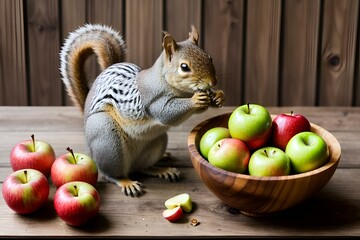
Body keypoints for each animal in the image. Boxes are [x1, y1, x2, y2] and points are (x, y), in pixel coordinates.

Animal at [60, 23, 224, 197]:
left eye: (210, 57)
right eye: (184, 67)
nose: (212, 82)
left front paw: (219, 96)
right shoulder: (151, 99)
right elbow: (166, 113)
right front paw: (196, 100)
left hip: (156, 143)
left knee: (143, 167)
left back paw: (162, 169)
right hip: (107, 138)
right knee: (111, 174)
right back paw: (126, 182)